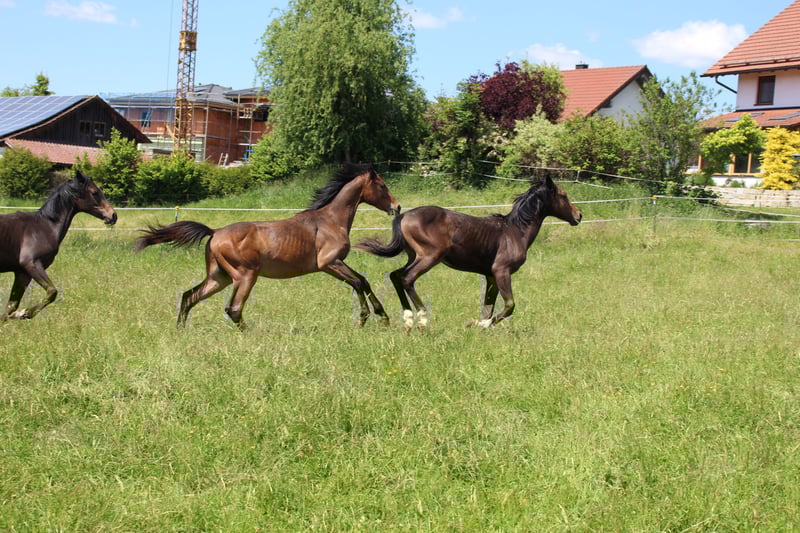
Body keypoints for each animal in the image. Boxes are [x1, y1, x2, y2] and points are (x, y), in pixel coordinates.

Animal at [0, 171, 117, 321]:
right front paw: (24, 313)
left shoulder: (22, 273)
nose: (113, 215)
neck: (46, 226)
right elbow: (52, 292)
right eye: (95, 192)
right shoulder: (31, 264)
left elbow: (10, 307)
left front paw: (17, 314)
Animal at [135, 163, 401, 330]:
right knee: (233, 308)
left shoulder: (337, 264)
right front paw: (369, 318)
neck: (330, 220)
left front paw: (378, 318)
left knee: (189, 296)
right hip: (245, 275)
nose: (397, 207)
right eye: (382, 186)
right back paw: (252, 333)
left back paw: (180, 330)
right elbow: (359, 282)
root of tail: (215, 232)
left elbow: (362, 281)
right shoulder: (329, 263)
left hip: (219, 277)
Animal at [356, 175, 581, 331]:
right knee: (406, 278)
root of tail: (403, 216)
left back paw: (408, 320)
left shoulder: (490, 276)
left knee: (395, 275)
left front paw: (480, 327)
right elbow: (509, 305)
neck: (516, 231)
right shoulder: (501, 271)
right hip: (429, 257)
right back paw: (421, 320)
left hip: (414, 256)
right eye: (564, 195)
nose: (578, 215)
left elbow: (488, 306)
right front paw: (478, 325)